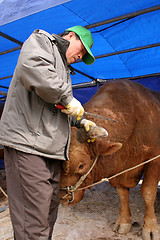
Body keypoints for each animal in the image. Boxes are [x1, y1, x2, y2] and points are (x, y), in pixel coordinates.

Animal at [59, 80, 160, 240]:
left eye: (81, 165)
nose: (63, 199)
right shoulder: (120, 168)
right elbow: (122, 194)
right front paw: (123, 221)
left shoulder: (154, 159)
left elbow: (148, 192)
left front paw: (150, 227)